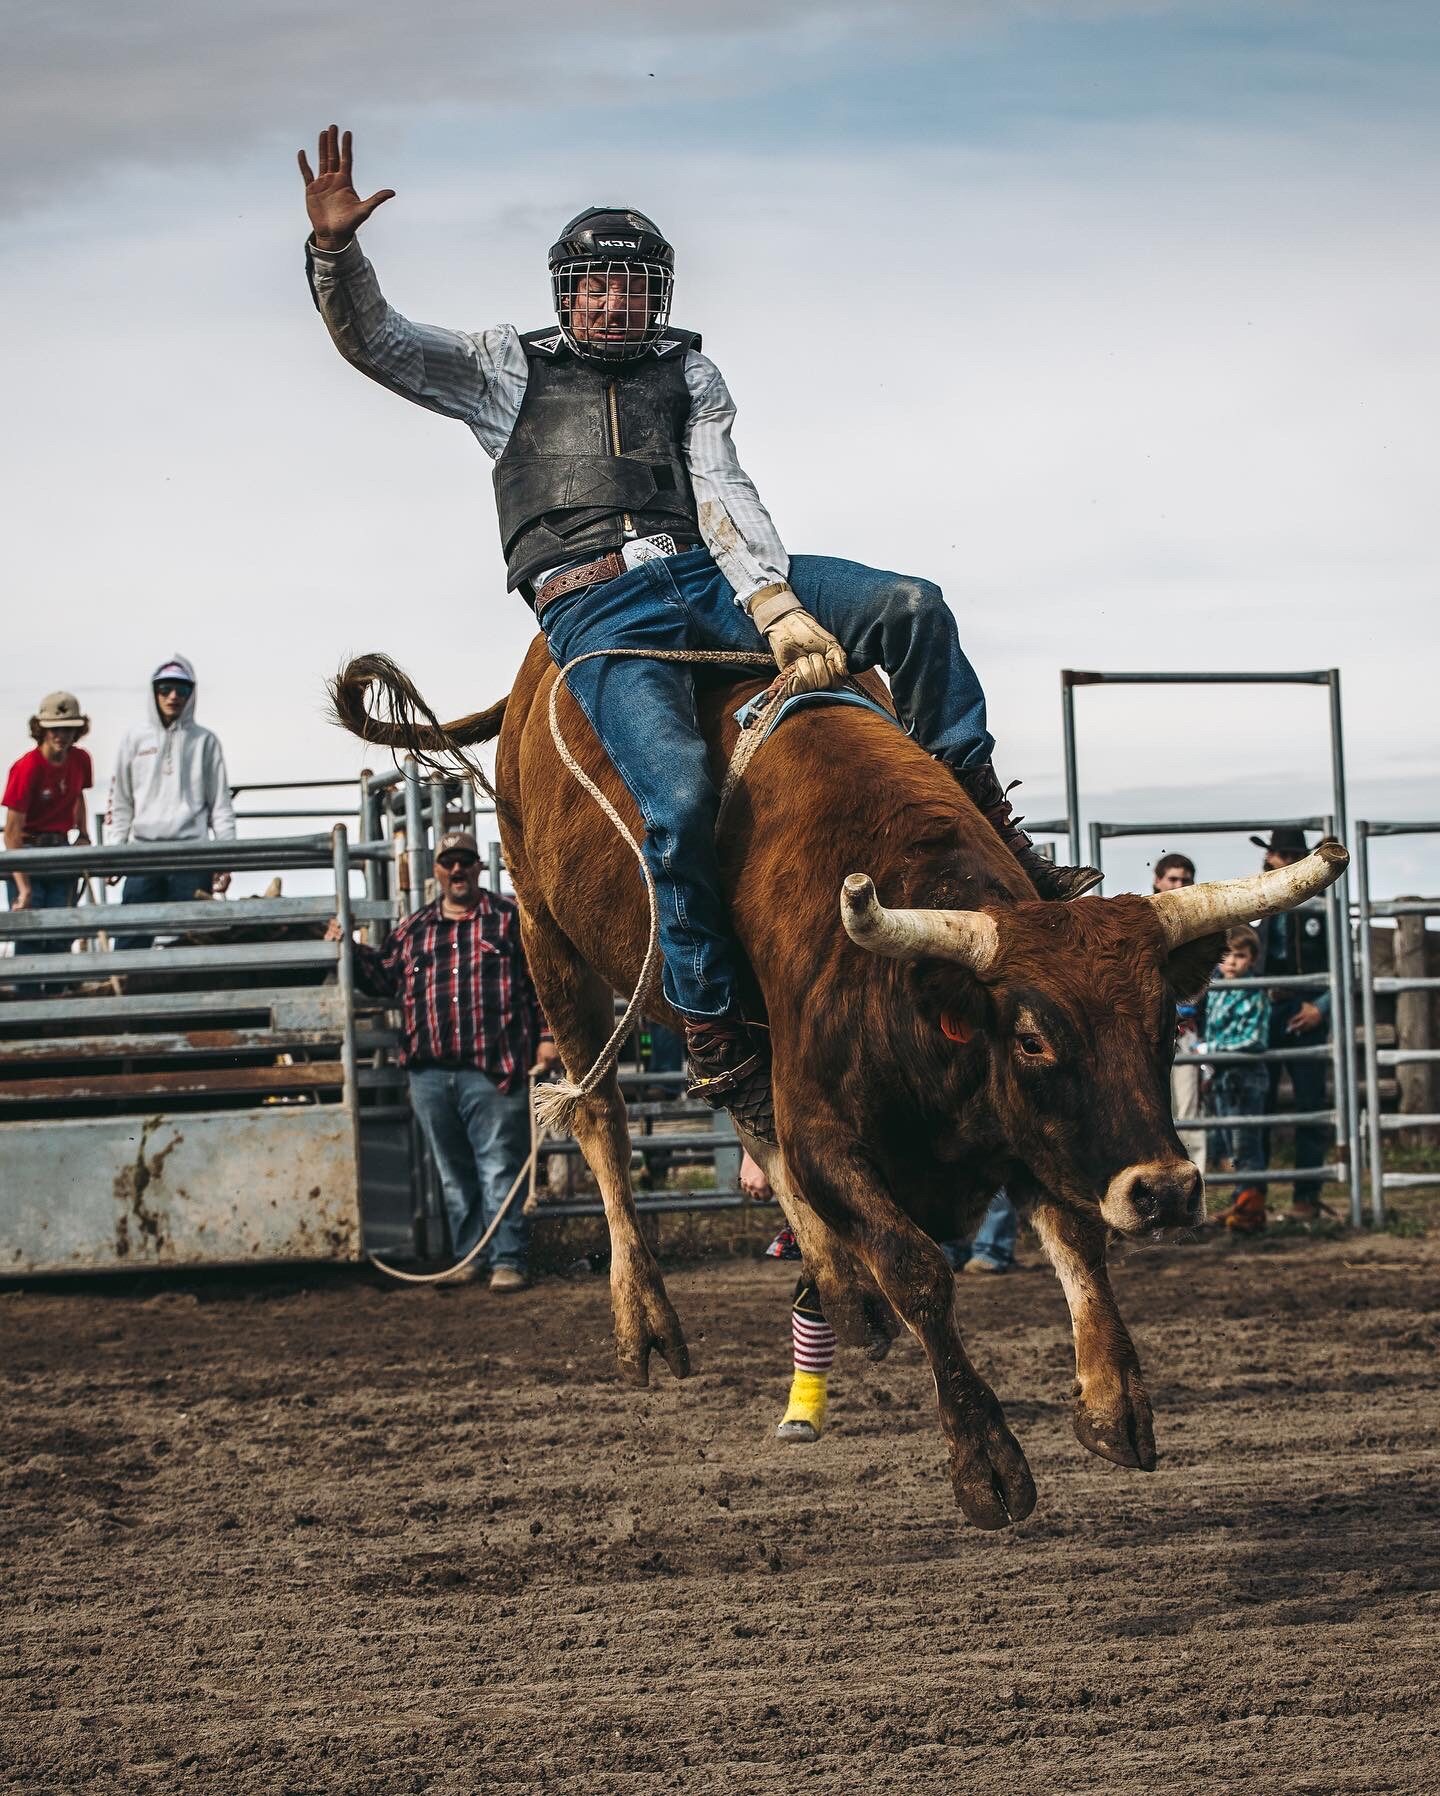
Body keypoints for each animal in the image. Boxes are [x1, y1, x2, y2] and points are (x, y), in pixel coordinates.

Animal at [330, 646, 1343, 1530]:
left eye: (1162, 1023)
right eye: (1031, 1037)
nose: (1167, 1191)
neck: (913, 993)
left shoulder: (1026, 1139)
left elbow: (1077, 1240)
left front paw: (1112, 1403)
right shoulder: (832, 1130)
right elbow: (917, 1267)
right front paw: (986, 1464)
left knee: (739, 1108)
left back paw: (836, 1283)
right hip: (547, 933)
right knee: (602, 1115)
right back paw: (646, 1313)